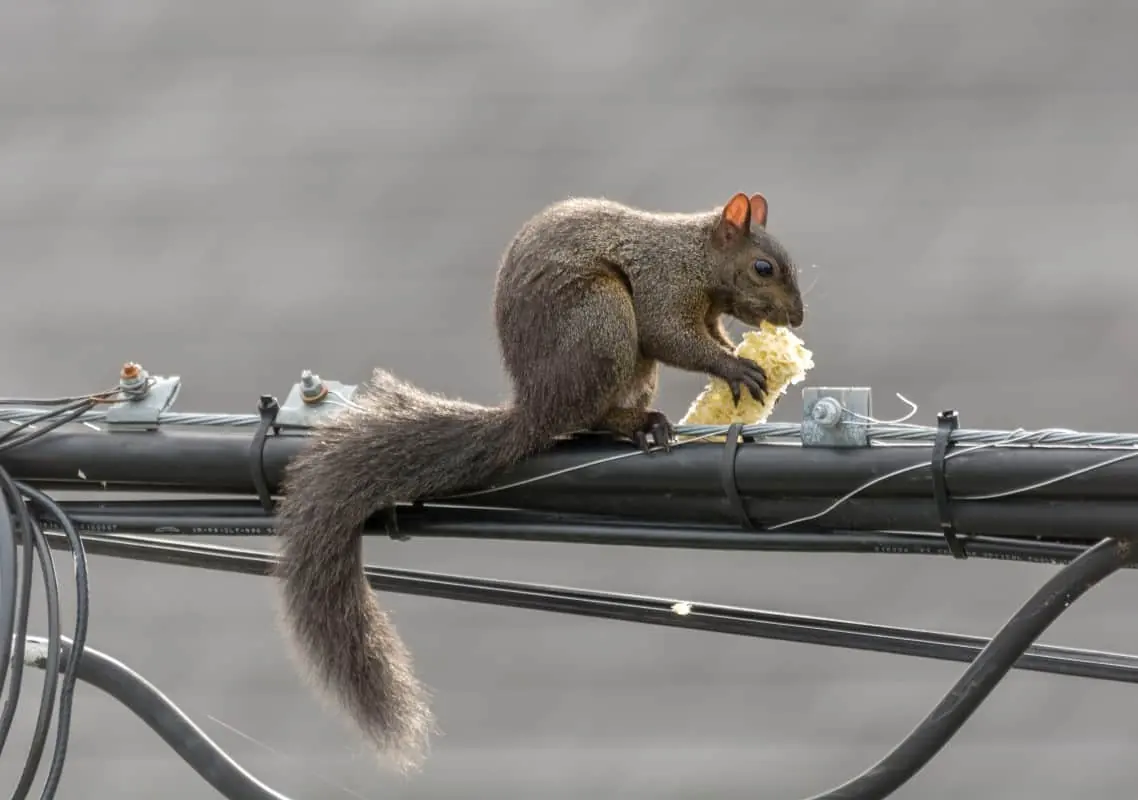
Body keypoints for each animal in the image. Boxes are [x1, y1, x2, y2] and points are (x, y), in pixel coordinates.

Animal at [272, 191, 805, 771]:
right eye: (763, 267)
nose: (798, 317)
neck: (694, 256)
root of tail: (536, 407)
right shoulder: (662, 284)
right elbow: (672, 334)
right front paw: (735, 367)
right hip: (601, 321)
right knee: (589, 415)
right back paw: (636, 424)